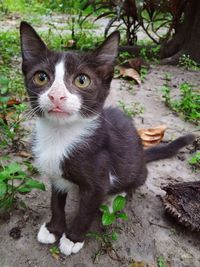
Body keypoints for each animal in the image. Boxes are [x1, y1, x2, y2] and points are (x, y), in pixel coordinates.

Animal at [19, 22, 195, 256]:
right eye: (41, 77)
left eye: (82, 80)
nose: (56, 96)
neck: (60, 135)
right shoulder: (56, 173)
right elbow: (56, 202)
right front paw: (54, 229)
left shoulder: (99, 178)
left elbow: (86, 211)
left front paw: (73, 238)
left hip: (135, 171)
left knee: (131, 185)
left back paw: (113, 200)